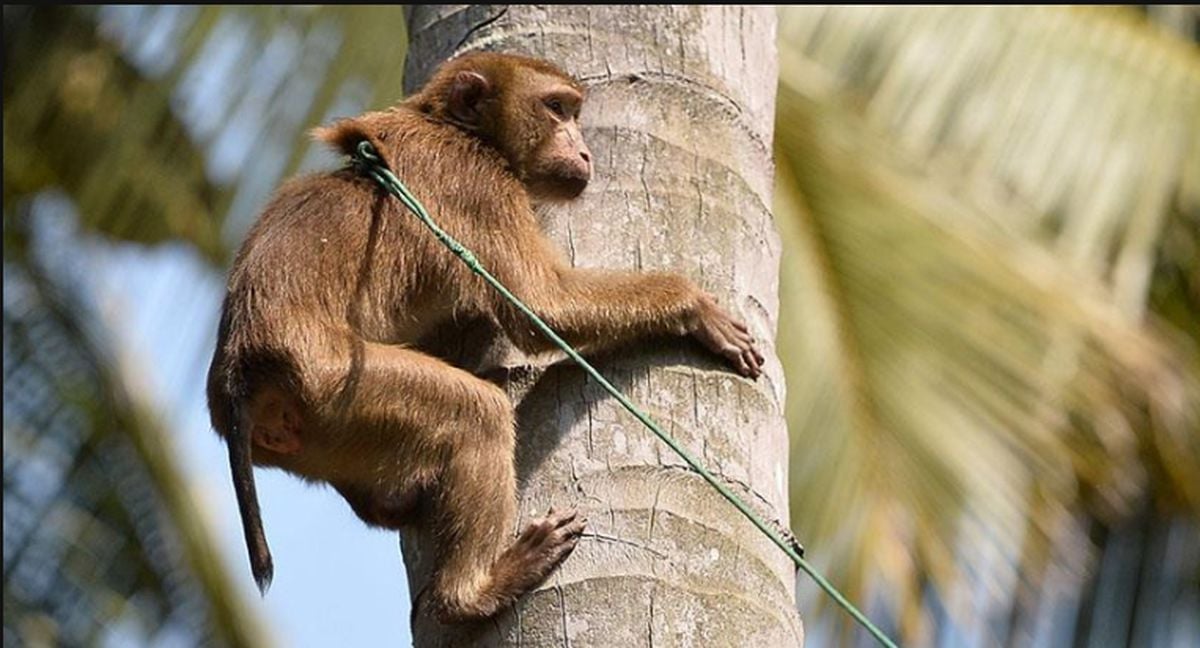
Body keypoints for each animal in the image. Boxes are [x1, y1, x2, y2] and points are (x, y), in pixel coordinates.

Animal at [205, 51, 764, 624]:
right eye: (557, 109)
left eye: (573, 114)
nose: (584, 150)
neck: (451, 126)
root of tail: (239, 374)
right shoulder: (479, 184)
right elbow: (542, 308)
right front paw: (691, 304)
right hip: (333, 384)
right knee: (477, 413)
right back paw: (473, 592)